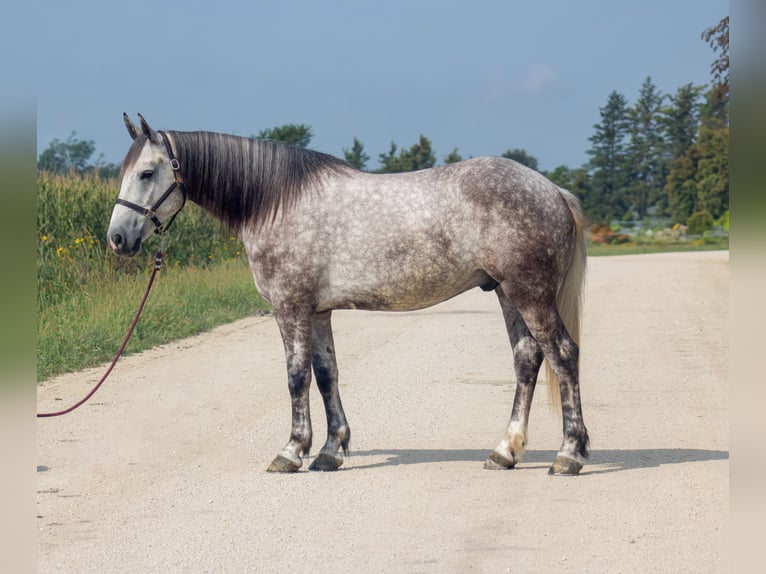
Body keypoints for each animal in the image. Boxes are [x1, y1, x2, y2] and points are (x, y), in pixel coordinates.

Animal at [108, 114, 589, 475]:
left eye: (147, 173)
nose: (117, 238)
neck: (275, 203)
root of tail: (553, 191)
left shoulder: (291, 307)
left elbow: (296, 376)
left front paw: (291, 452)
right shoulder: (318, 312)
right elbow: (326, 376)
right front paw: (329, 452)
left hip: (530, 293)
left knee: (563, 354)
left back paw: (568, 455)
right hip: (508, 292)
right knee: (527, 359)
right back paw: (505, 451)